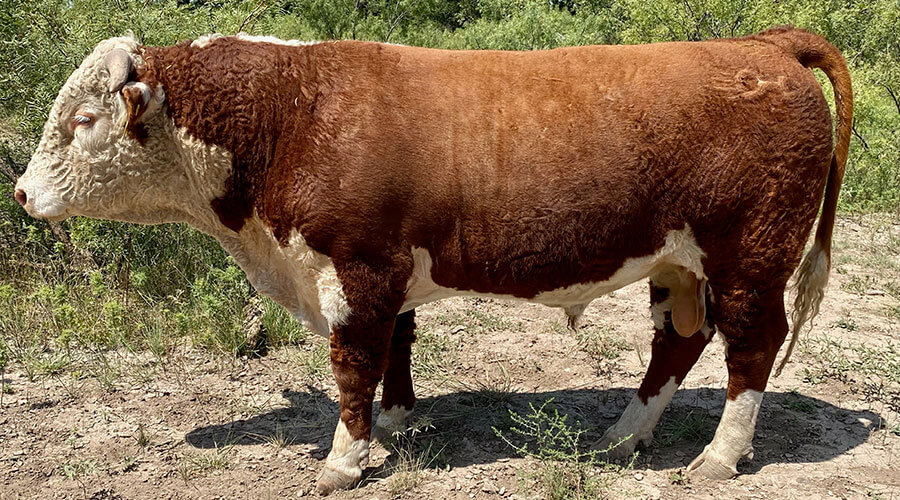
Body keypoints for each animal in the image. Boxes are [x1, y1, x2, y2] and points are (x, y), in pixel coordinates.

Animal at [15, 26, 851, 494]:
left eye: (83, 118)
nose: (21, 192)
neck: (291, 113)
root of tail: (765, 45)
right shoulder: (386, 272)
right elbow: (397, 345)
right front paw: (395, 422)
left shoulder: (355, 268)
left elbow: (354, 361)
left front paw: (345, 459)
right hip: (682, 265)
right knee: (678, 342)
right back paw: (622, 436)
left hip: (750, 256)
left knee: (752, 348)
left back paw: (718, 457)